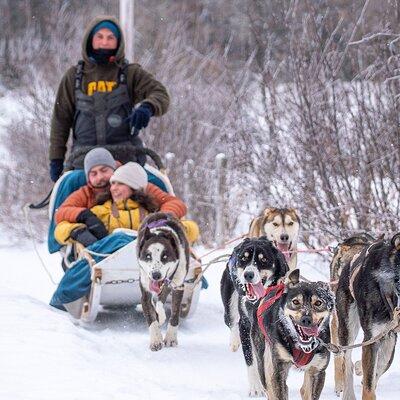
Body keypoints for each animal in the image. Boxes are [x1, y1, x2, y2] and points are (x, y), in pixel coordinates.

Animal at [137, 212, 190, 350]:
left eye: (165, 257)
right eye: (148, 256)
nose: (156, 275)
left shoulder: (178, 286)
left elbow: (174, 313)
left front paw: (170, 338)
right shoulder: (145, 291)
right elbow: (150, 317)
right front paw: (156, 339)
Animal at [220, 236, 290, 396]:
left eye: (263, 260)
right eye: (243, 259)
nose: (248, 275)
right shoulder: (245, 325)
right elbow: (250, 358)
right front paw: (256, 386)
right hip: (229, 305)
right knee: (231, 321)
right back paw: (234, 341)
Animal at [255, 268, 336, 400]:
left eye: (318, 303)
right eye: (296, 302)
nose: (306, 319)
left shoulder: (317, 371)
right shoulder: (278, 370)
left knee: (303, 390)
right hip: (264, 365)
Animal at [334, 234, 400, 400]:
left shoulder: (389, 335)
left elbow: (381, 364)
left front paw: (363, 370)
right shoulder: (372, 337)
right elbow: (369, 385)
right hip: (347, 328)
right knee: (346, 360)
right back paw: (349, 394)